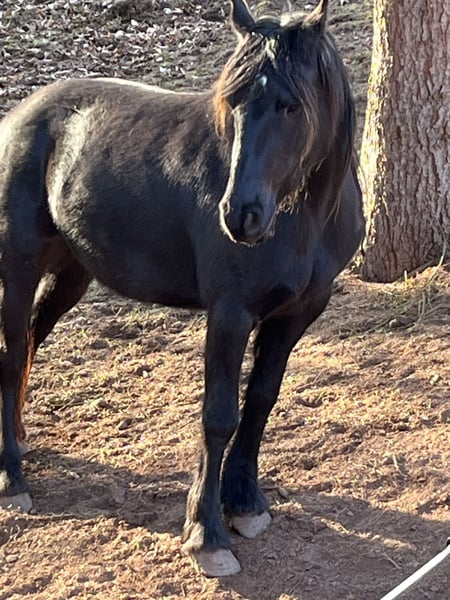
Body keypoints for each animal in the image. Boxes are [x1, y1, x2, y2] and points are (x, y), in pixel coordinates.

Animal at [0, 0, 364, 576]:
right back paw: (12, 477)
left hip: (72, 272)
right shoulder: (231, 314)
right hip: (18, 267)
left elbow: (261, 400)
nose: (240, 215)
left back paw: (18, 438)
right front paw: (207, 534)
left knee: (33, 340)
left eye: (290, 106)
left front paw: (246, 504)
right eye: (233, 101)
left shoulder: (297, 313)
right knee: (13, 356)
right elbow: (219, 415)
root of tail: (20, 116)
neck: (305, 219)